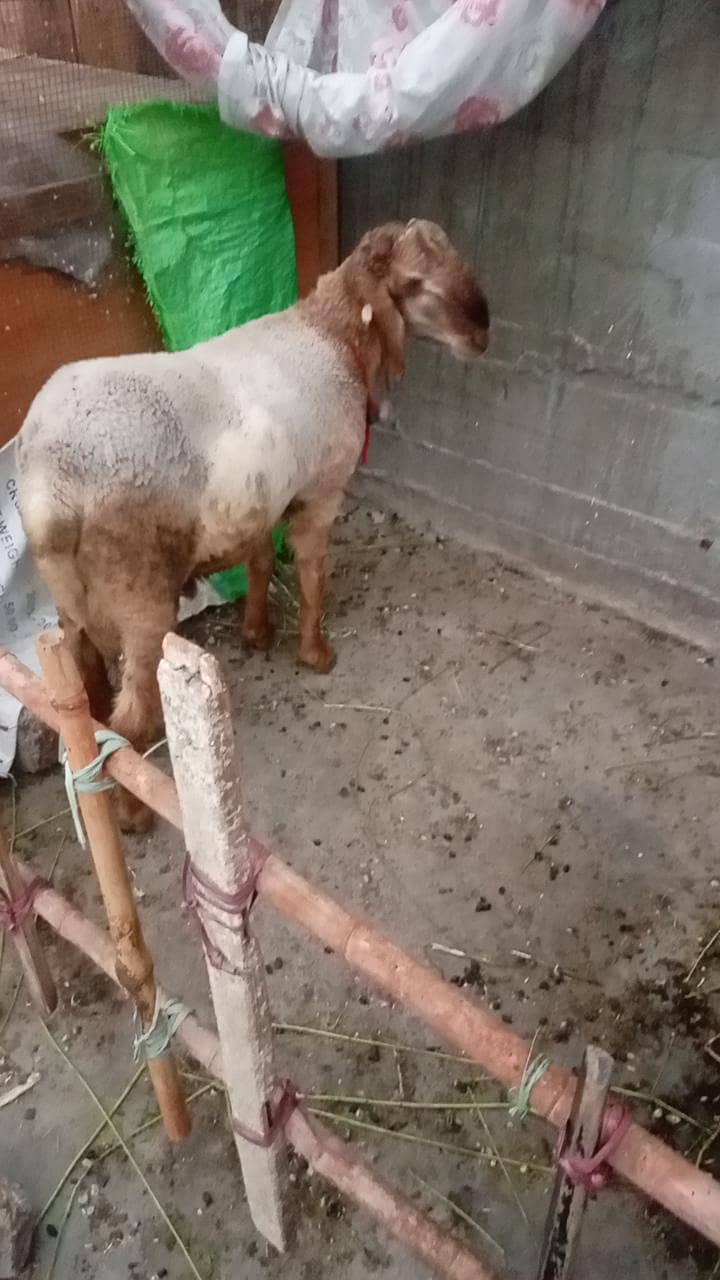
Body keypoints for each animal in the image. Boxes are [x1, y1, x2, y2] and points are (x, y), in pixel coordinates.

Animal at [17, 219, 489, 829]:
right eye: (413, 284)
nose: (483, 334)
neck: (330, 337)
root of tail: (50, 483)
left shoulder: (264, 497)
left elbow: (262, 560)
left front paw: (257, 633)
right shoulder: (320, 492)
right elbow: (311, 573)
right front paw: (315, 653)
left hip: (70, 602)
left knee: (89, 698)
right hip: (138, 590)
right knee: (129, 721)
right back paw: (135, 814)